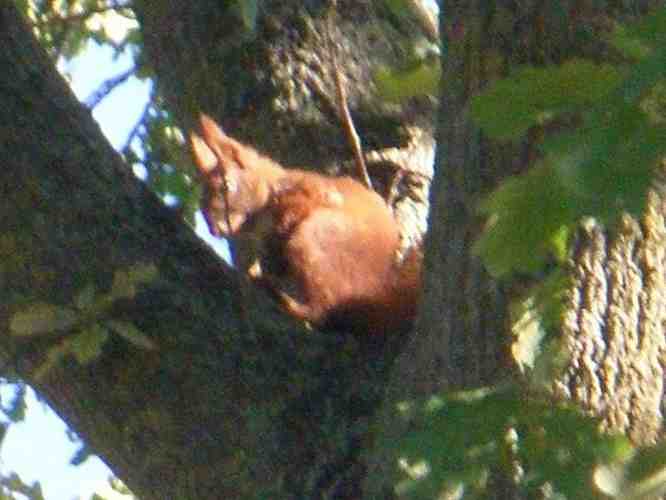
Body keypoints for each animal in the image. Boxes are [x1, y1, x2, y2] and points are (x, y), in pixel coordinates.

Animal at [189, 114, 418, 336]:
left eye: (227, 186)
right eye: (201, 204)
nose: (214, 229)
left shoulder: (314, 193)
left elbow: (300, 209)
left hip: (313, 237)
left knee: (322, 310)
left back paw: (281, 296)